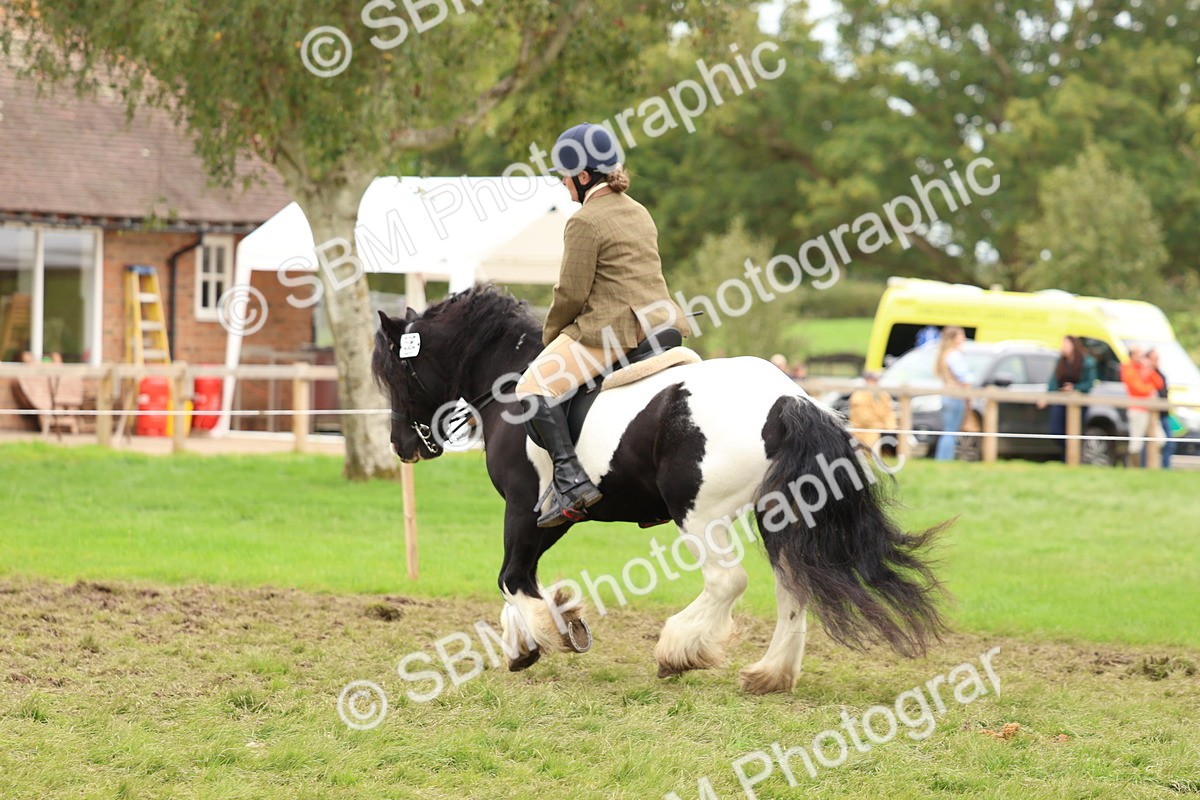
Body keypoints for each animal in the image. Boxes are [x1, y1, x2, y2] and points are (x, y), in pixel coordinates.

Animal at [372, 284, 949, 694]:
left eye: (393, 373)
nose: (403, 446)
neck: (510, 387)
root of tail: (788, 399)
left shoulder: (524, 508)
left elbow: (513, 578)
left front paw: (551, 634)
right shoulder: (556, 516)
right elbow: (520, 580)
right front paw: (528, 640)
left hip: (699, 513)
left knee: (728, 582)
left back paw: (677, 651)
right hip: (777, 515)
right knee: (793, 586)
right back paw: (768, 674)